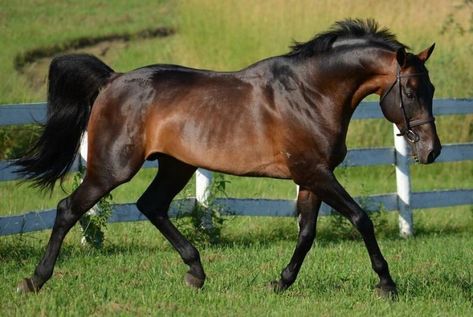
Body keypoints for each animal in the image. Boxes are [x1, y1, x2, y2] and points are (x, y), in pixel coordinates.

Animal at [16, 19, 440, 296]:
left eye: (432, 88)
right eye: (411, 91)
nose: (431, 150)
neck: (310, 94)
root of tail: (112, 80)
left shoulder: (311, 177)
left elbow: (306, 233)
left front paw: (281, 282)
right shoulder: (315, 173)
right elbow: (360, 218)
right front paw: (386, 284)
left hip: (176, 165)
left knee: (151, 205)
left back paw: (195, 273)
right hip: (111, 169)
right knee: (69, 209)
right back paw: (35, 280)